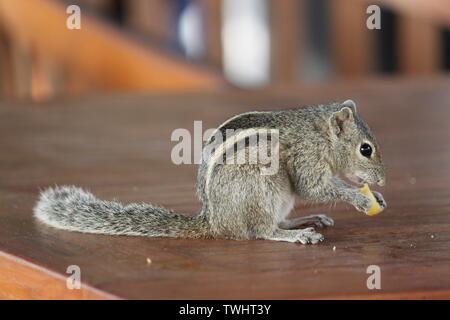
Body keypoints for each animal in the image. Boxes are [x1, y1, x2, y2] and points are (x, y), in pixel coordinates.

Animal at [34, 100, 386, 245]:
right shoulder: (307, 157)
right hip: (259, 190)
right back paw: (296, 234)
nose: (382, 179)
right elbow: (314, 188)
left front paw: (376, 196)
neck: (319, 133)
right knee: (261, 231)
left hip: (278, 199)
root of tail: (215, 221)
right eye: (365, 149)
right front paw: (359, 198)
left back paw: (305, 220)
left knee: (275, 222)